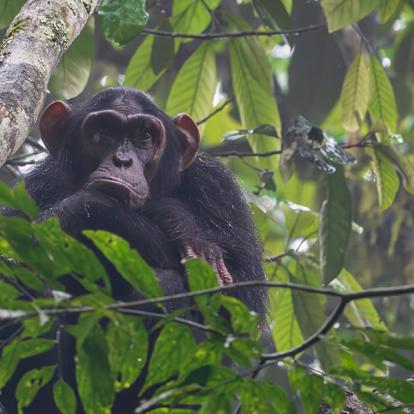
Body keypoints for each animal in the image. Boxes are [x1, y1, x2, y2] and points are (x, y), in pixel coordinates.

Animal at [0, 85, 266, 412]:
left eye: (144, 136)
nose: (123, 161)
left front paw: (182, 225)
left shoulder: (218, 187)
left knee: (163, 283)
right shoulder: (34, 187)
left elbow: (238, 301)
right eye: (103, 133)